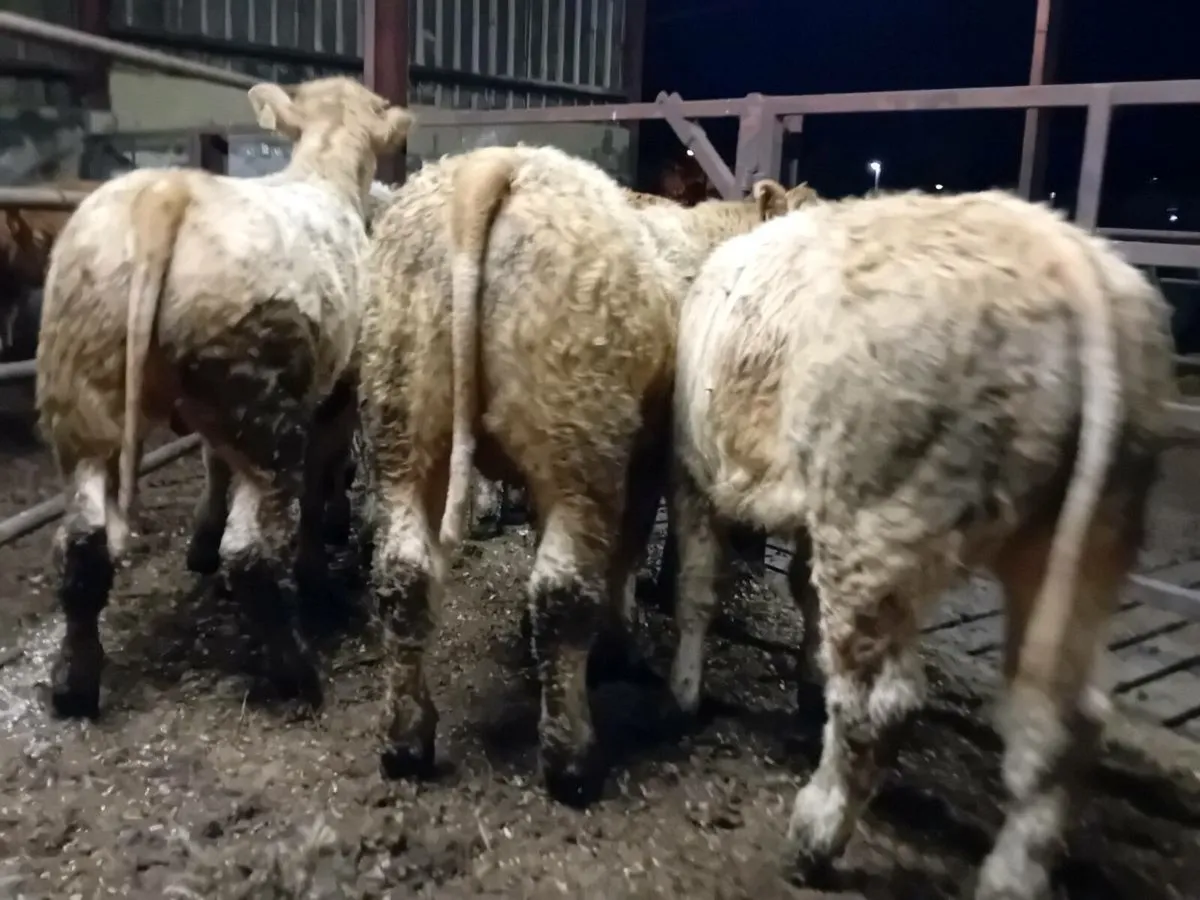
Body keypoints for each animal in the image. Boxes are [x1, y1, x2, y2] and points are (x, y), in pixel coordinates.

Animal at [35, 76, 412, 719]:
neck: (324, 169)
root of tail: (167, 195)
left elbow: (213, 466)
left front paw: (200, 544)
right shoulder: (339, 389)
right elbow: (322, 482)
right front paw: (317, 573)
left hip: (84, 395)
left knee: (84, 544)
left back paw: (74, 683)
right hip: (259, 409)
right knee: (251, 551)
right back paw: (296, 672)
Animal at [666, 188, 1174, 899]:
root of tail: (1067, 257)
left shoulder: (695, 471)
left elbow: (697, 589)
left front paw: (683, 695)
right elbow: (799, 595)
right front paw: (805, 684)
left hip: (875, 524)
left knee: (881, 703)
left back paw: (816, 834)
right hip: (1086, 544)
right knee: (1059, 724)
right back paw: (1009, 880)